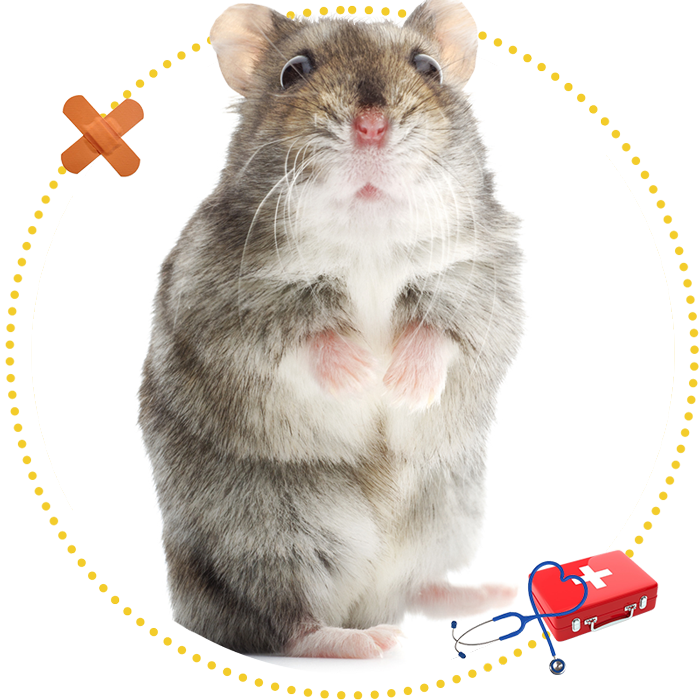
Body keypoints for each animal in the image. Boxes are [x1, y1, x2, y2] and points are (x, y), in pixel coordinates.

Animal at [139, 0, 523, 659]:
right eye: (294, 71)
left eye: (427, 68)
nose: (371, 127)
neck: (367, 225)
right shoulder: (225, 301)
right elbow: (304, 336)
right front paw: (364, 375)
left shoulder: (479, 279)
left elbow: (441, 331)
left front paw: (401, 384)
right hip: (273, 530)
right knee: (284, 620)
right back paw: (362, 643)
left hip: (447, 509)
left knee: (418, 585)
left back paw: (480, 596)